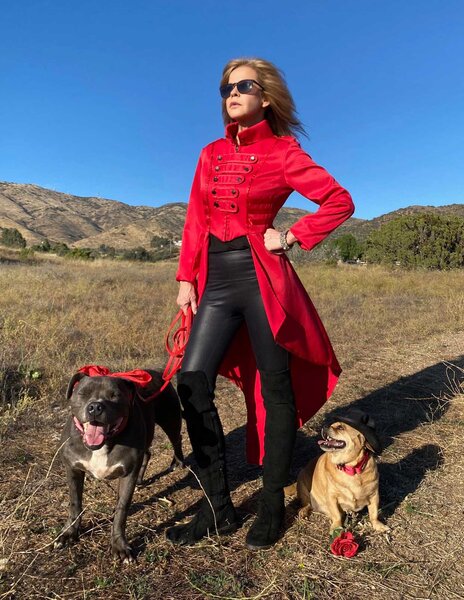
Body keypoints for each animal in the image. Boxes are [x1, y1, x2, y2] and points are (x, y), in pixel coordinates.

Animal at [55, 368, 184, 560]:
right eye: (83, 393)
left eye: (115, 395)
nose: (95, 407)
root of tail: (159, 372)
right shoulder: (73, 470)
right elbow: (75, 503)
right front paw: (69, 533)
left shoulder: (127, 476)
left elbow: (121, 510)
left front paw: (119, 545)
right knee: (147, 453)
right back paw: (141, 479)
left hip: (171, 419)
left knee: (177, 438)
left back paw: (179, 462)